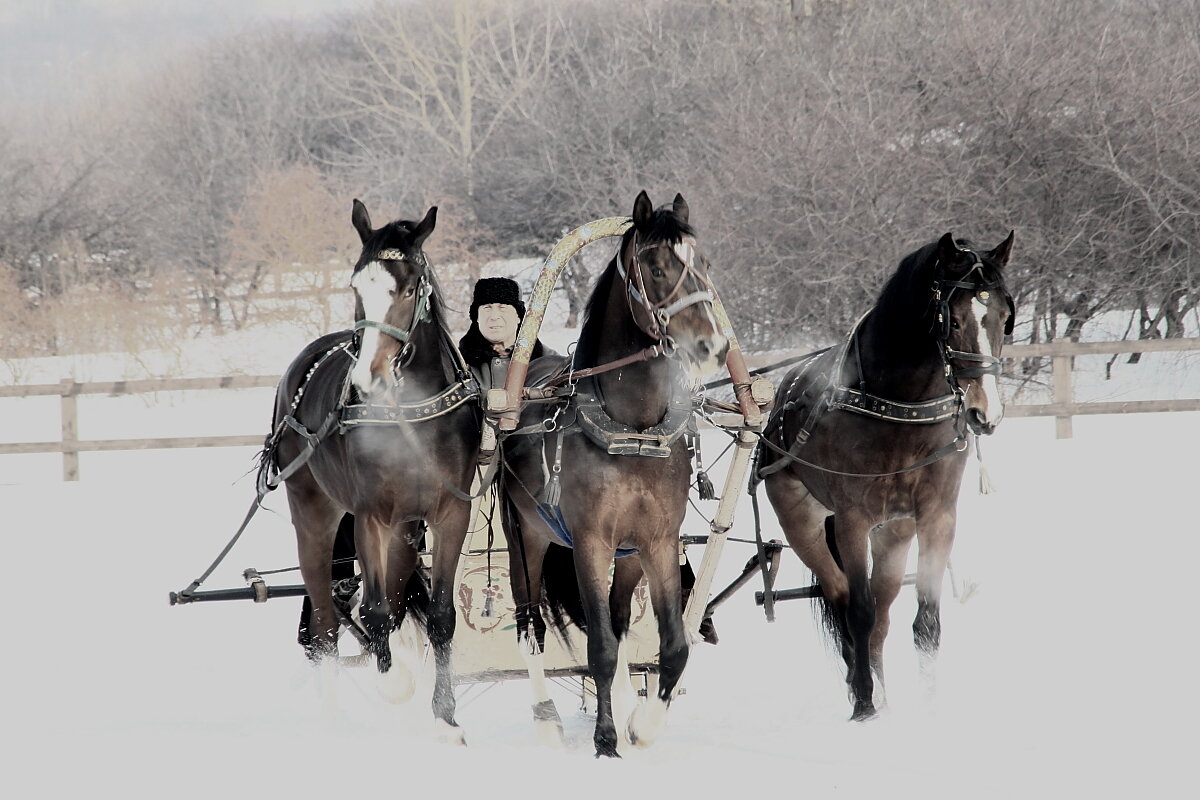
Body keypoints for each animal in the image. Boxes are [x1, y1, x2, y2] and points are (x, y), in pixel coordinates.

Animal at [265, 201, 480, 743]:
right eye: (355, 287)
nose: (367, 378)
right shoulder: (370, 516)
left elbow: (440, 615)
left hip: (405, 529)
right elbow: (375, 612)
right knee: (322, 625)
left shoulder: (448, 514)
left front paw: (445, 718)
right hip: (315, 514)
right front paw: (395, 683)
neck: (413, 413)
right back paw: (335, 717)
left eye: (407, 290)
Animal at [499, 189, 724, 758]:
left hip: (629, 558)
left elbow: (671, 645)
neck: (632, 429)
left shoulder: (658, 541)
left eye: (705, 264)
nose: (712, 346)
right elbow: (598, 646)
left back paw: (623, 706)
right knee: (529, 624)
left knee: (620, 621)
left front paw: (643, 725)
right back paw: (546, 718)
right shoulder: (590, 542)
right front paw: (605, 740)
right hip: (526, 537)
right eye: (658, 267)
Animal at [758, 230, 1012, 719]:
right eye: (952, 320)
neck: (899, 408)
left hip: (894, 532)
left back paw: (882, 686)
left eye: (1004, 317)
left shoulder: (936, 517)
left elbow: (925, 618)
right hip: (803, 522)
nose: (985, 413)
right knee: (844, 598)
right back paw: (864, 685)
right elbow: (858, 610)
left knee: (884, 607)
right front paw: (863, 704)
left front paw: (928, 702)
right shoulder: (852, 520)